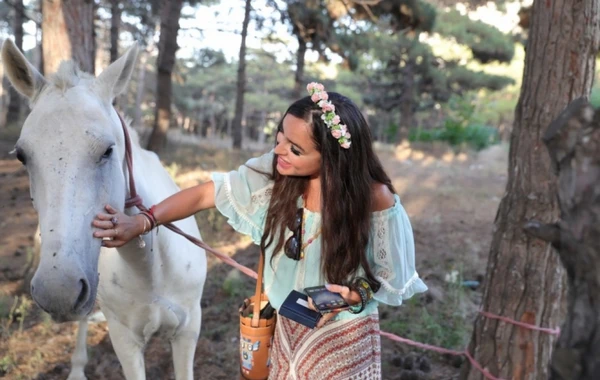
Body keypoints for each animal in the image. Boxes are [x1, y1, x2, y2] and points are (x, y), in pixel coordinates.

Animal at [1, 40, 206, 378]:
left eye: (108, 150)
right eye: (21, 156)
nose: (57, 291)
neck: (152, 269)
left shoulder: (188, 331)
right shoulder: (125, 341)